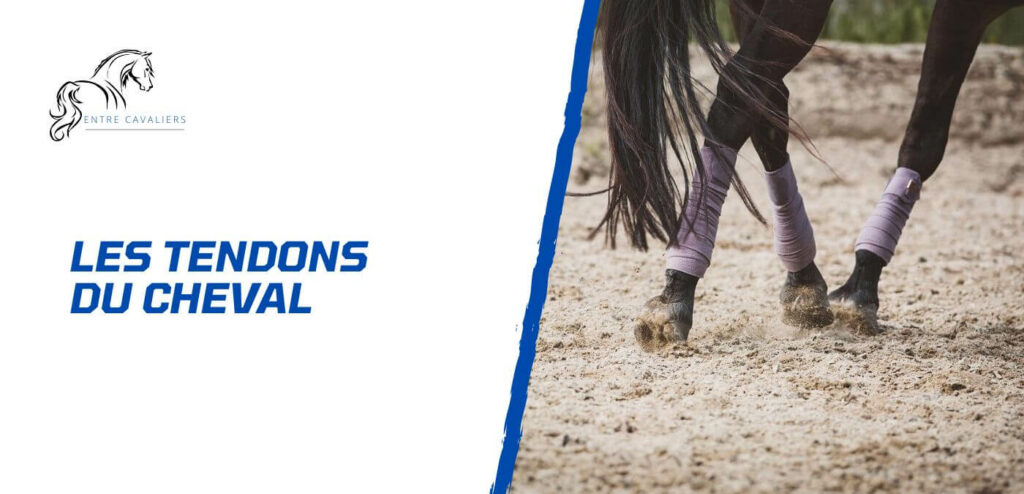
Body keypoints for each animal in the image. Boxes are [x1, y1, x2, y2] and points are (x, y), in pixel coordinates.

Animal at [595, 0, 1023, 348]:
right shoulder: (966, 7)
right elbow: (926, 134)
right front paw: (861, 285)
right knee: (739, 95)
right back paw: (677, 293)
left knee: (761, 102)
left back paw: (797, 279)